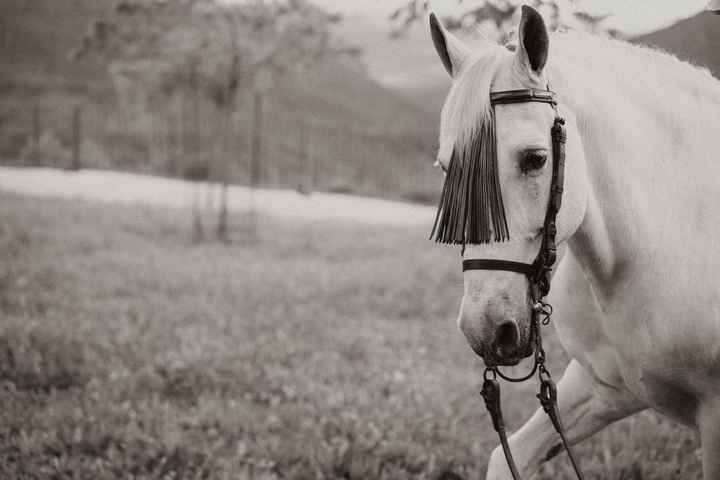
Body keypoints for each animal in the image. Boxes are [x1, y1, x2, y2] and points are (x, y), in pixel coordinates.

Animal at [430, 4, 720, 480]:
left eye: (534, 159)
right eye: (445, 167)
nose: (485, 330)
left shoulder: (713, 417)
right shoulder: (602, 387)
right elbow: (506, 457)